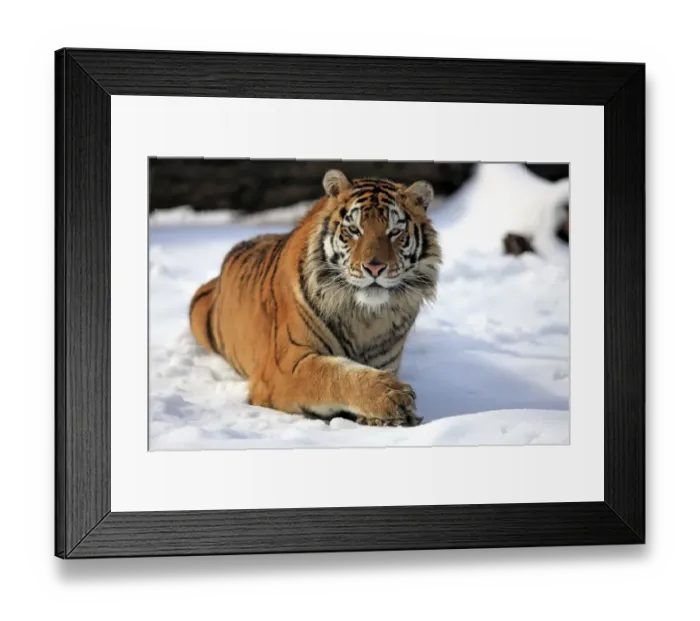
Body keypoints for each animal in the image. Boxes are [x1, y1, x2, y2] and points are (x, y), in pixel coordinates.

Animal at [188, 169, 442, 427]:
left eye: (394, 232)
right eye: (354, 230)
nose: (374, 267)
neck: (365, 318)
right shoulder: (285, 366)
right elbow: (334, 373)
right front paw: (392, 396)